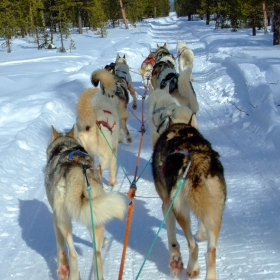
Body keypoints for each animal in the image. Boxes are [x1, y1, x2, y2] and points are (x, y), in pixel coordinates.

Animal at [44, 126, 126, 280]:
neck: (65, 146)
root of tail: (76, 169)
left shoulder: (54, 218)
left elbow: (60, 246)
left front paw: (62, 268)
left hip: (62, 220)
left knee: (73, 253)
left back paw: (71, 273)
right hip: (95, 216)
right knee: (97, 254)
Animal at [152, 118, 226, 280]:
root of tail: (196, 159)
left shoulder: (167, 205)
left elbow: (172, 240)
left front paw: (175, 260)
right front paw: (201, 234)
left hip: (180, 211)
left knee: (193, 246)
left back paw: (193, 269)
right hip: (217, 209)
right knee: (211, 252)